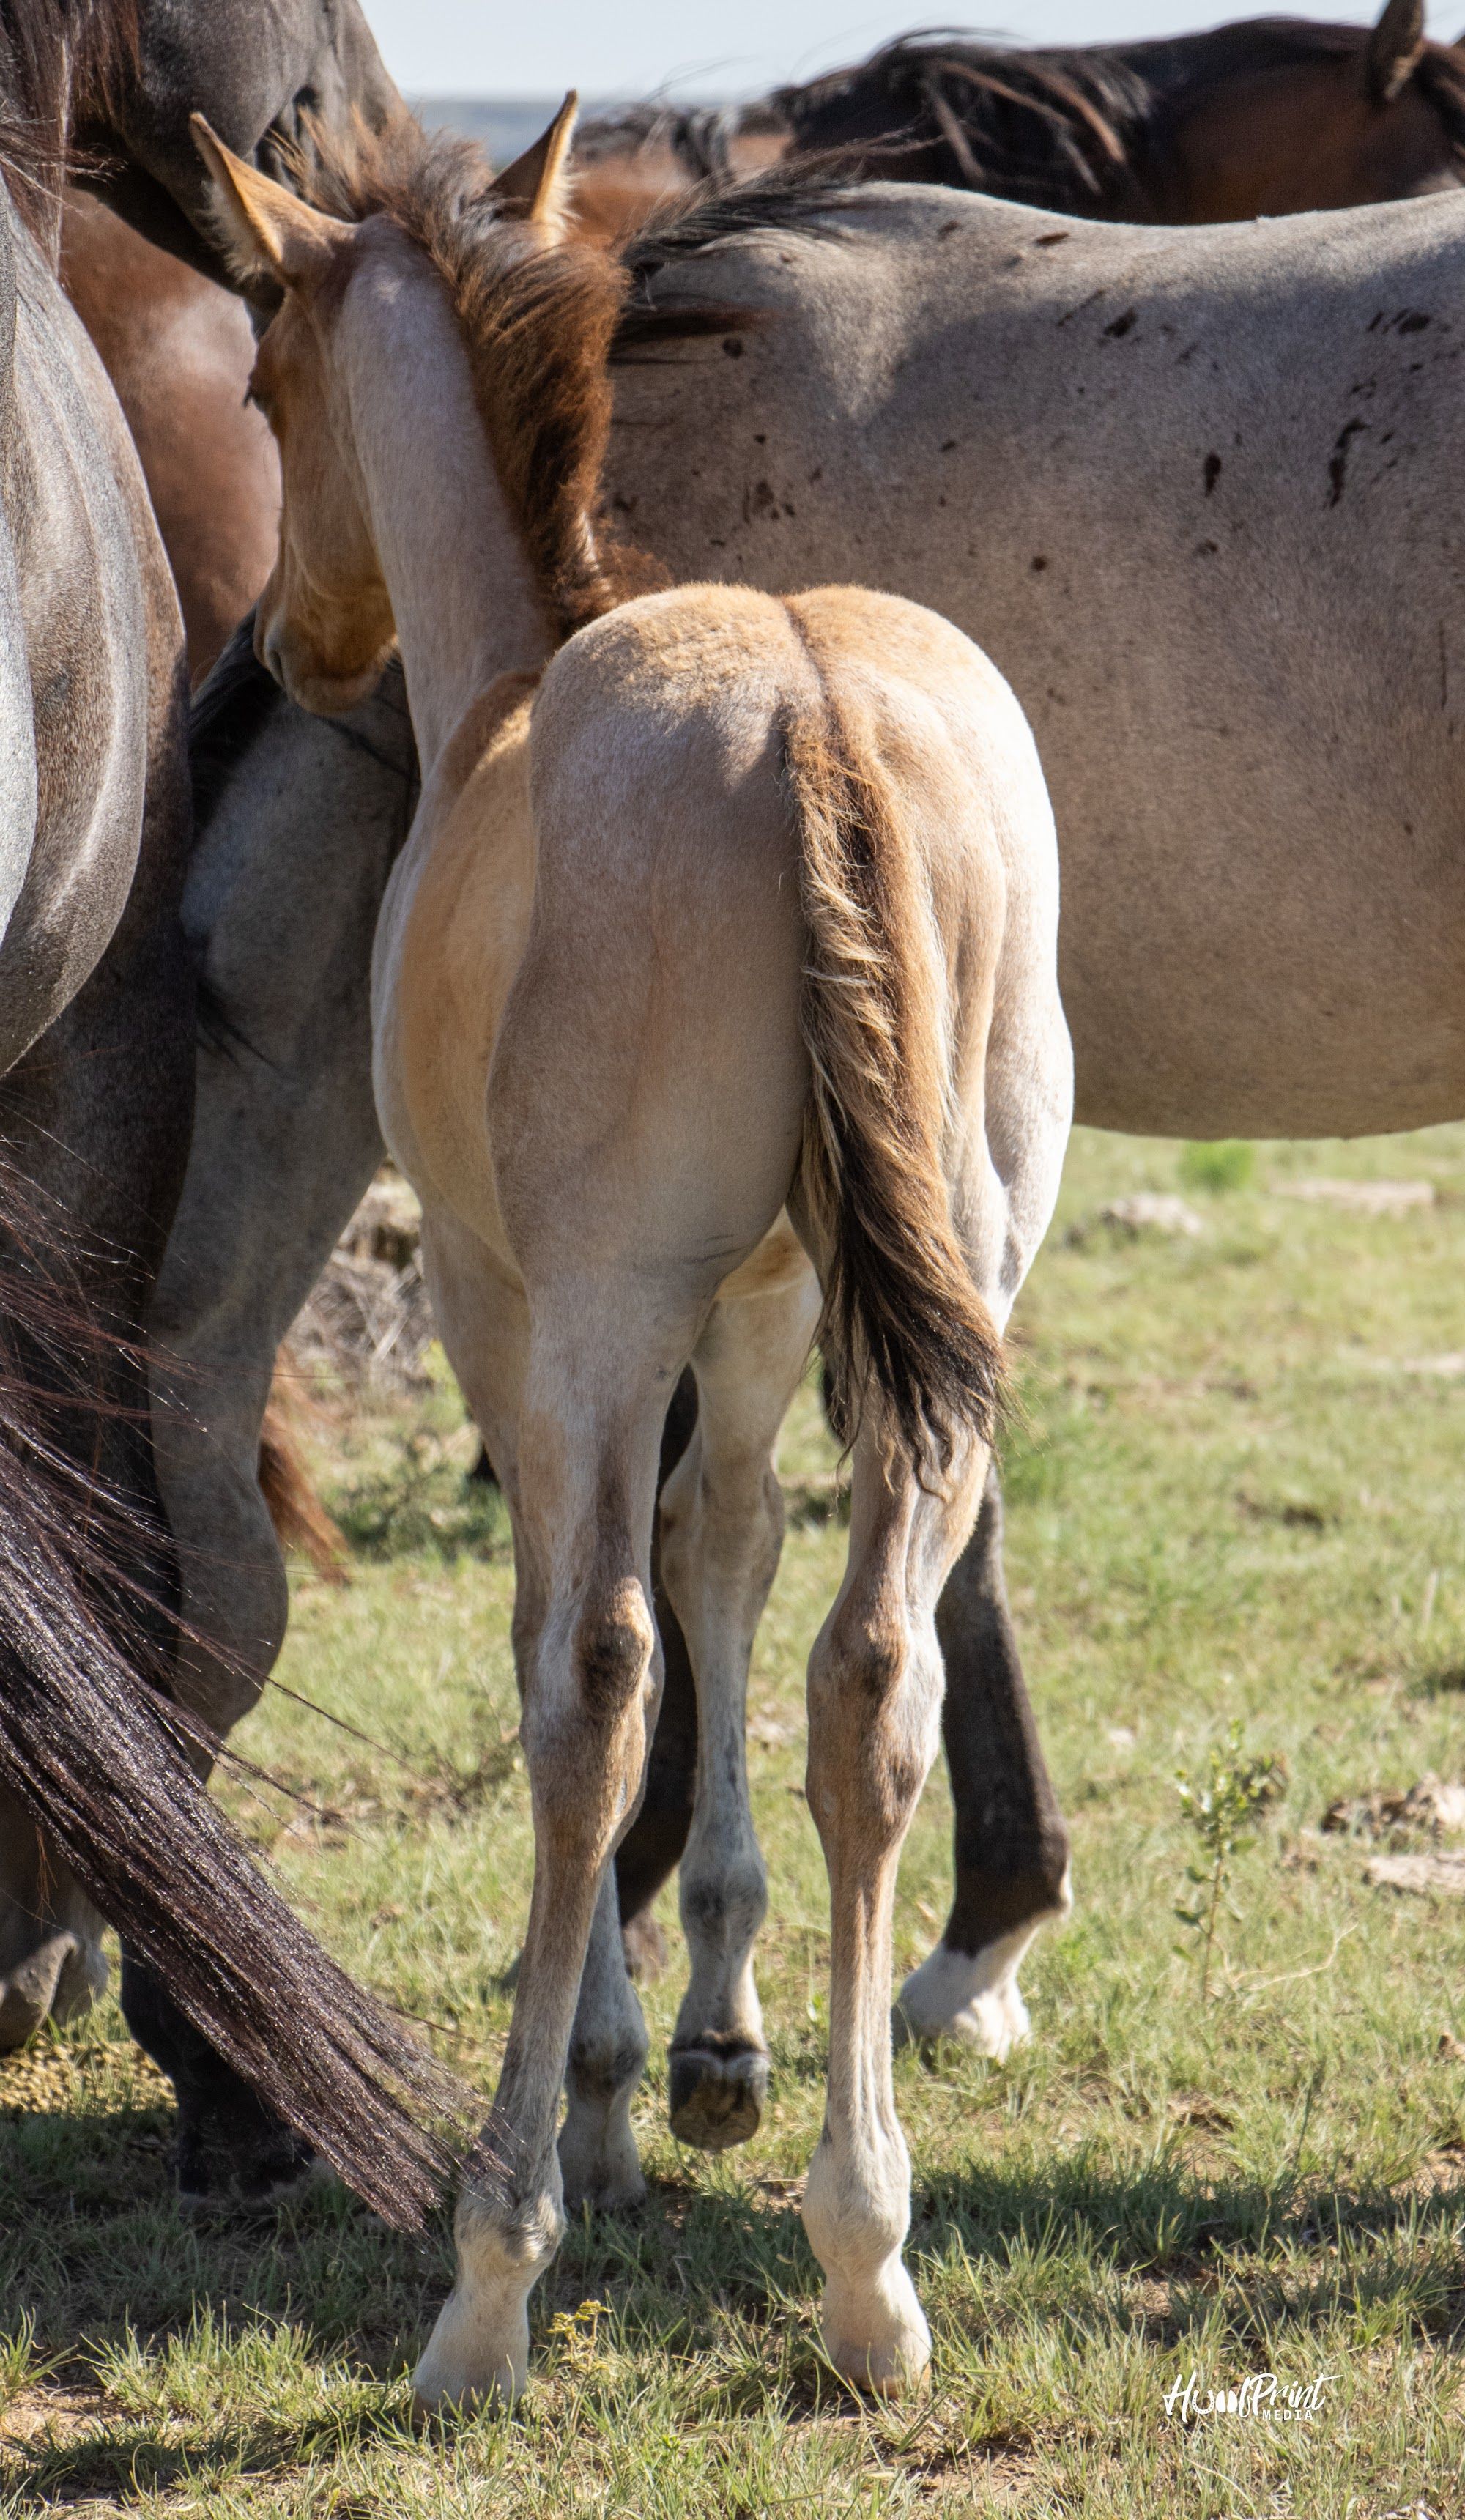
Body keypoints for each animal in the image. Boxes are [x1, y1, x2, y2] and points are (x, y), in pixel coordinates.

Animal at [194, 102, 1073, 2404]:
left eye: (264, 386)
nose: (285, 654)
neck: (512, 681)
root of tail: (812, 710)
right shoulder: (759, 1315)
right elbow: (732, 1559)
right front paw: (716, 2044)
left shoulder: (511, 1311)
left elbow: (568, 1651)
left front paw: (596, 2087)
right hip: (944, 1318)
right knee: (874, 1675)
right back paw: (867, 2263)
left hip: (590, 1316)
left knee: (593, 1686)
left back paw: (491, 2278)